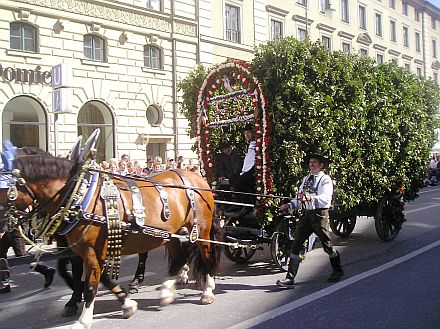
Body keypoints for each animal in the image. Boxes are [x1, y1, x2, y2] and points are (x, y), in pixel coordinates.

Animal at [13, 154, 220, 328]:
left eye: (8, 189)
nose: (34, 227)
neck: (79, 196)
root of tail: (198, 178)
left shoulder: (91, 250)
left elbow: (91, 284)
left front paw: (83, 319)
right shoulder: (85, 249)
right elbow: (97, 277)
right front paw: (125, 303)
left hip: (201, 230)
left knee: (206, 254)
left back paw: (207, 291)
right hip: (171, 234)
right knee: (179, 256)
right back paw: (167, 290)